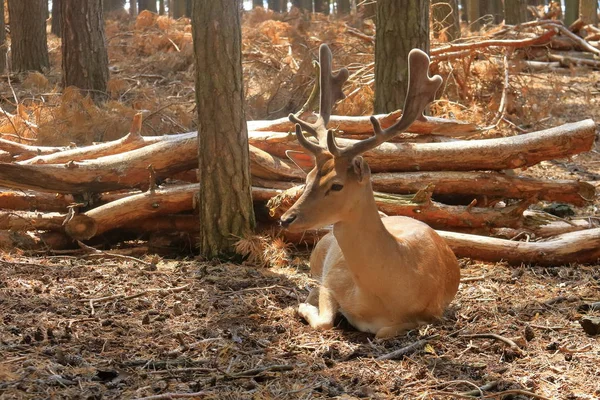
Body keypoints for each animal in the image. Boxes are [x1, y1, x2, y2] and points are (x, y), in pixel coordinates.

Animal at [280, 43, 460, 338]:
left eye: (337, 185)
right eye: (307, 178)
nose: (286, 219)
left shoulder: (431, 313)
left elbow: (383, 331)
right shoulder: (332, 281)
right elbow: (324, 317)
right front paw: (306, 304)